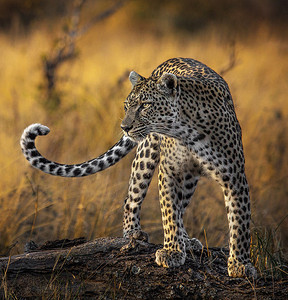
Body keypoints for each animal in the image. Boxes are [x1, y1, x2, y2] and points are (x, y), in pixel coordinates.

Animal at [21, 57, 258, 278]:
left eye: (145, 105)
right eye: (127, 105)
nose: (124, 127)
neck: (188, 132)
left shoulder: (234, 176)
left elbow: (239, 222)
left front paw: (240, 264)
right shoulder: (169, 172)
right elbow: (169, 214)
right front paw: (172, 251)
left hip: (188, 177)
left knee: (182, 206)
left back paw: (186, 240)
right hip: (147, 153)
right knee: (131, 199)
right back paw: (134, 234)